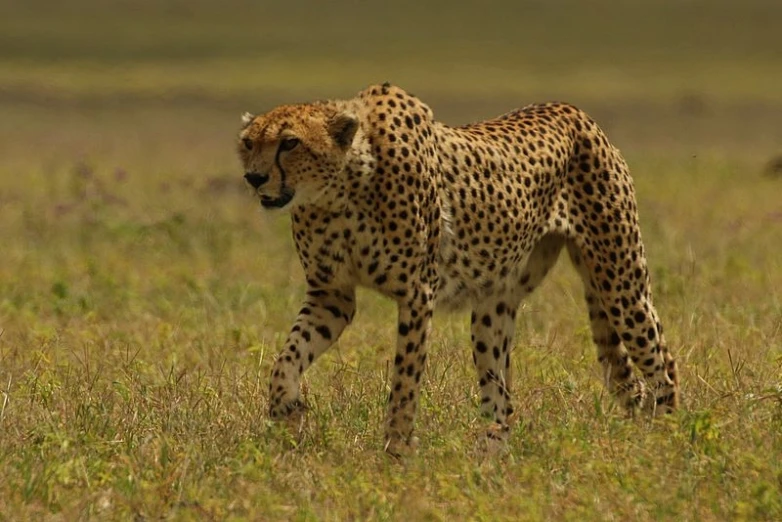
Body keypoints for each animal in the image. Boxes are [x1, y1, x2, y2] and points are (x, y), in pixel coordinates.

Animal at [237, 82, 680, 456]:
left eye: (290, 143)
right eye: (248, 142)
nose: (254, 177)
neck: (339, 190)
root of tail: (572, 110)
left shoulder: (417, 293)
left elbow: (404, 381)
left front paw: (396, 452)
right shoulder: (332, 295)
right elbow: (286, 358)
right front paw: (286, 411)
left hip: (620, 282)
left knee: (662, 361)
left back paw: (669, 440)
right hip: (493, 309)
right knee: (502, 397)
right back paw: (490, 458)